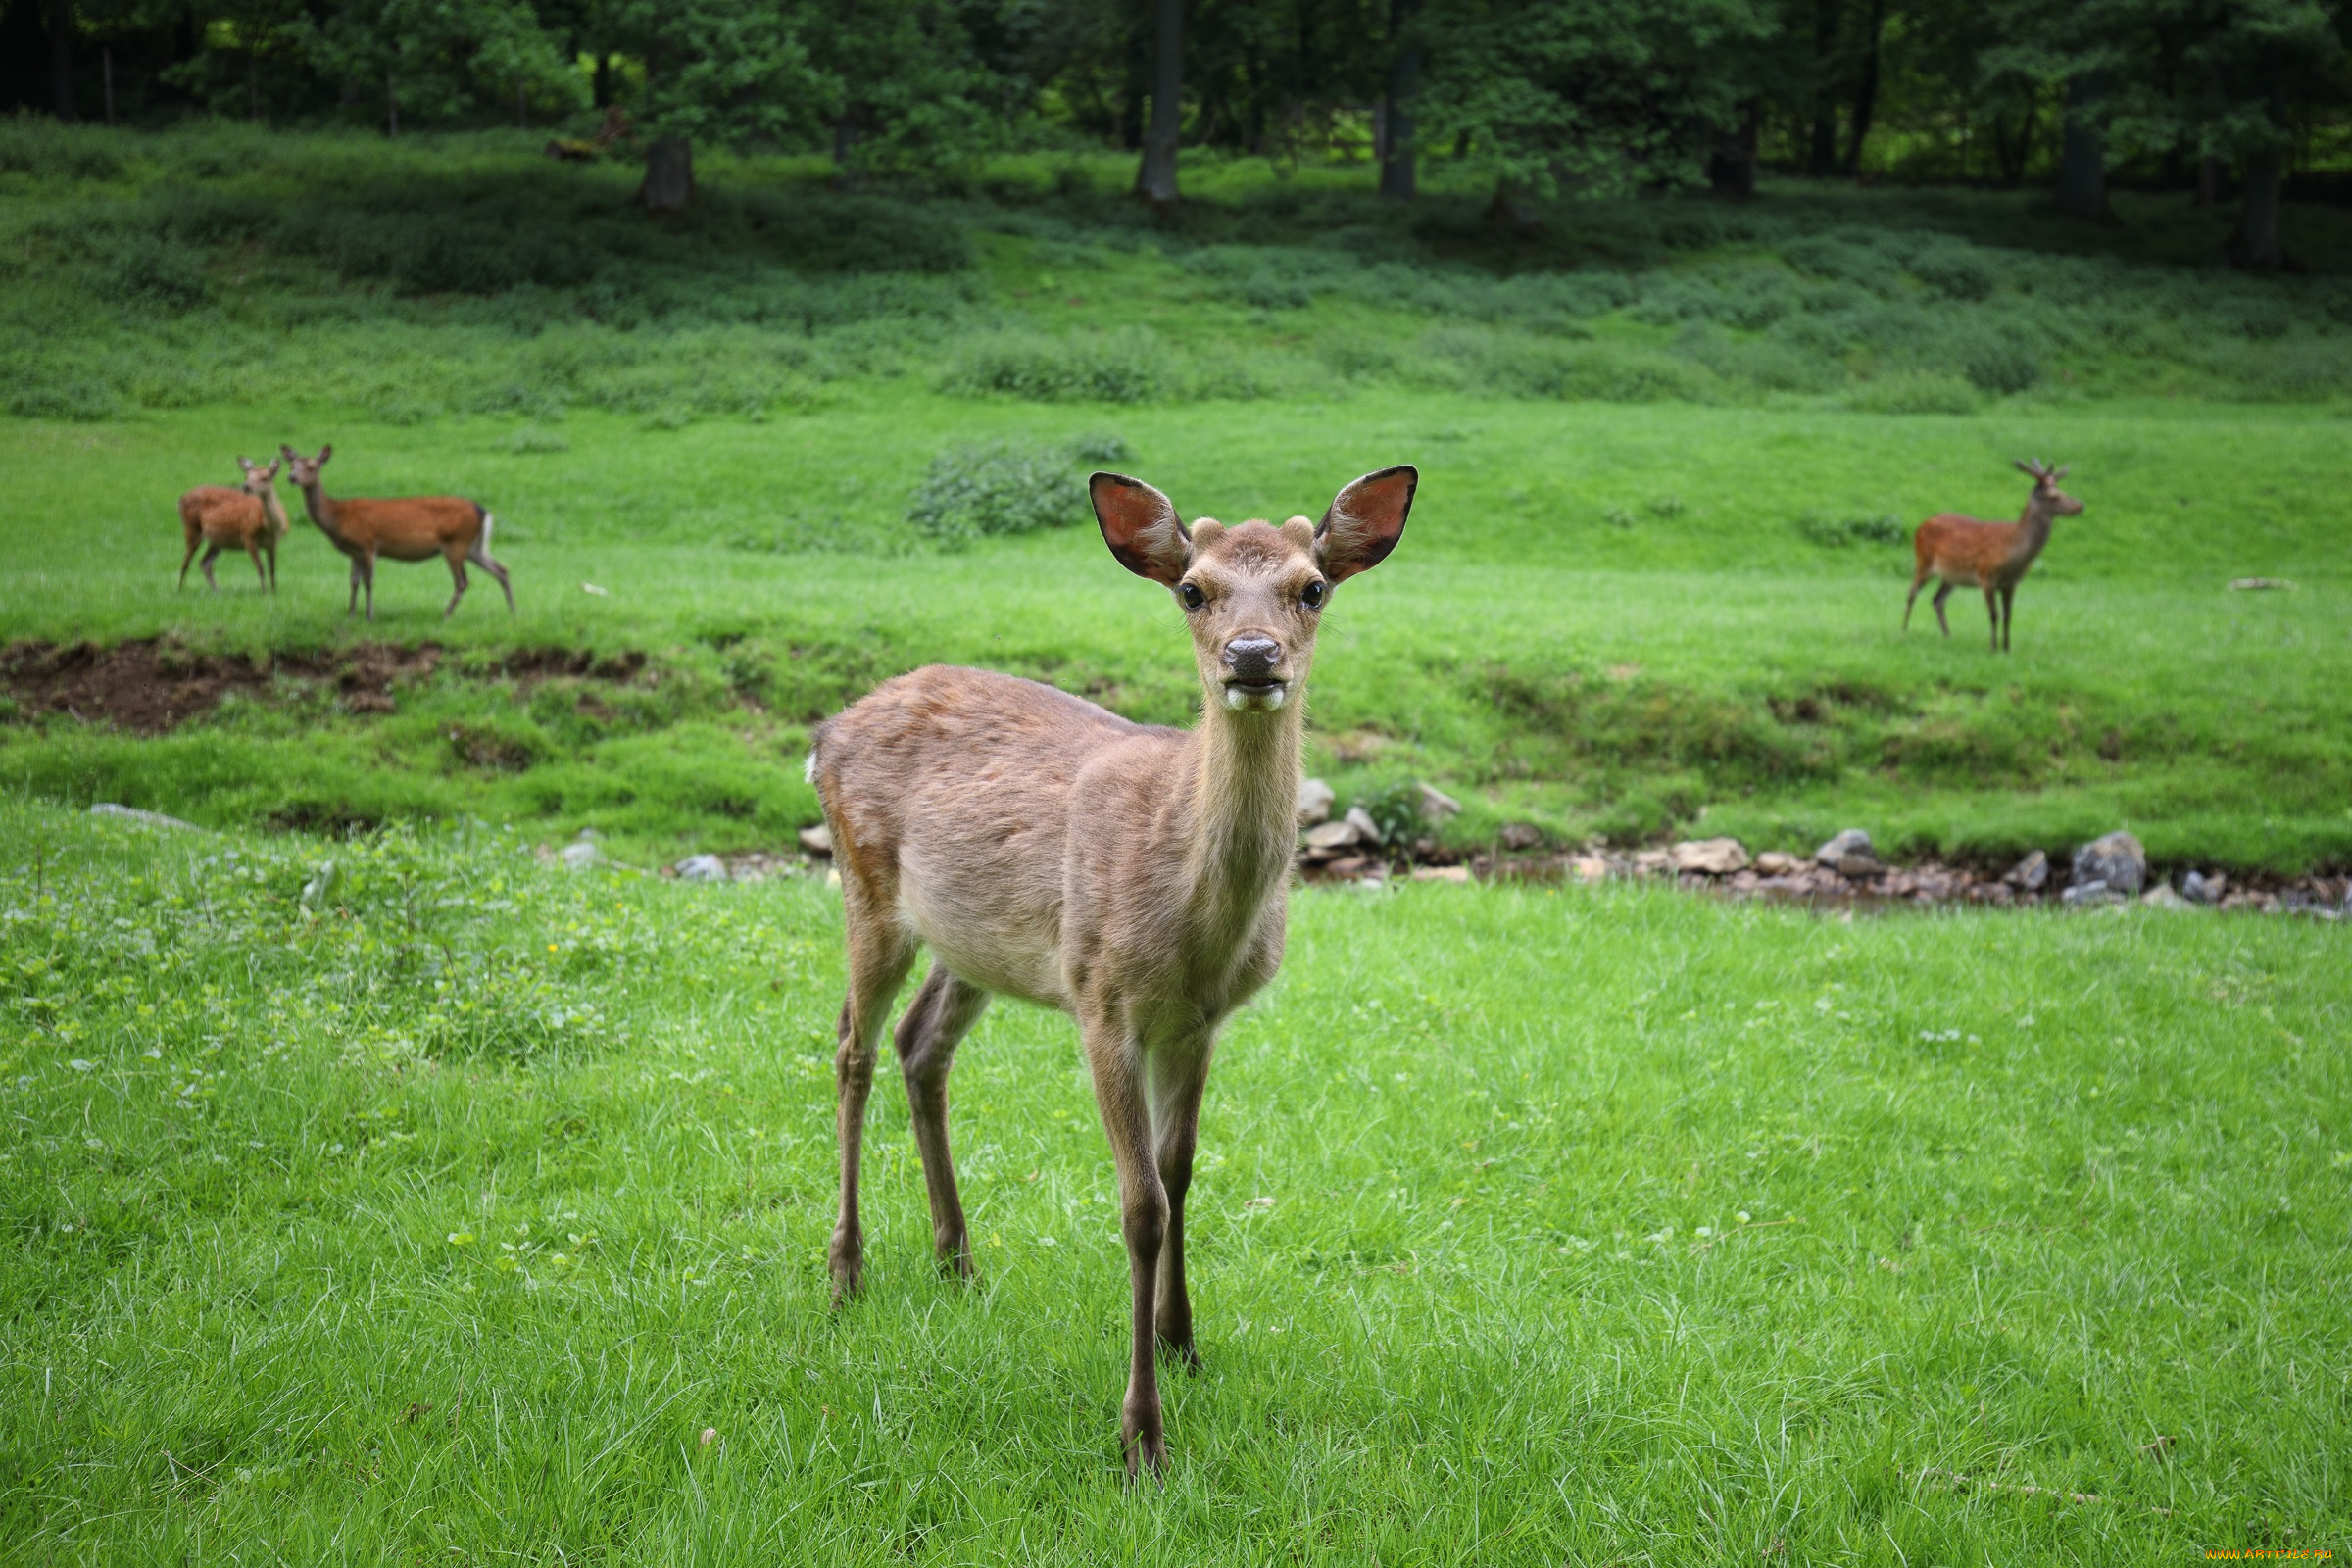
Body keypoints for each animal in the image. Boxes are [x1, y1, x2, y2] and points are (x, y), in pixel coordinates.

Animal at [176, 463, 291, 597]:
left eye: (265, 477)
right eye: (247, 476)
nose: (246, 486)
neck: (270, 528)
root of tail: (181, 499)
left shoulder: (273, 543)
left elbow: (272, 568)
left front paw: (274, 591)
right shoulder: (248, 536)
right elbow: (260, 567)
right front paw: (265, 592)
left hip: (217, 540)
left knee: (205, 563)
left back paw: (217, 591)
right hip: (192, 527)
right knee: (186, 561)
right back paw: (180, 590)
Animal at [277, 444, 513, 620]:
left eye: (312, 466)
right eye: (292, 464)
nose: (292, 477)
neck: (338, 517)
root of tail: (483, 511)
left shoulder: (368, 544)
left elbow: (368, 581)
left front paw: (370, 616)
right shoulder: (354, 551)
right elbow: (353, 581)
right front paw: (351, 613)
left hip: (456, 542)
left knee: (463, 581)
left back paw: (445, 614)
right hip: (473, 546)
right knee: (501, 569)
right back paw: (512, 611)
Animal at [808, 465, 1411, 1486]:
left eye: (1313, 587)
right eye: (1193, 590)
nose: (1253, 656)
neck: (1198, 924)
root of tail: (825, 732)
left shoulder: (1199, 1020)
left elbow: (1183, 1172)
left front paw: (1184, 1341)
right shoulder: (1102, 999)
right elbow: (1141, 1206)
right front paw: (1141, 1436)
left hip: (977, 944)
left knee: (919, 1044)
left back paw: (957, 1259)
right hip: (867, 880)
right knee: (852, 1046)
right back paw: (846, 1272)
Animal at [1900, 456, 2088, 653]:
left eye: (2062, 490)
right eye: (2054, 496)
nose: (2080, 505)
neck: (2013, 553)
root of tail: (1921, 526)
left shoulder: (2011, 583)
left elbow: (2008, 617)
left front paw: (2006, 648)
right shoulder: (1986, 575)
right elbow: (1994, 615)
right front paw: (1993, 647)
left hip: (1951, 576)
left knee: (1937, 600)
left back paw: (1948, 636)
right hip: (1923, 561)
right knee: (1912, 593)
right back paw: (1904, 630)